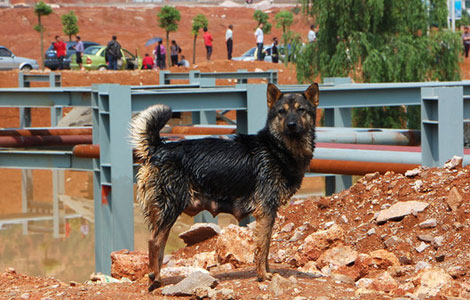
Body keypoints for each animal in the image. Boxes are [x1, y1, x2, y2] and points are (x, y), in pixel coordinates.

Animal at [129, 82, 320, 290]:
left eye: (301, 110)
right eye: (282, 112)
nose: (291, 125)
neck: (277, 148)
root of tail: (158, 148)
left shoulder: (269, 213)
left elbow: (266, 245)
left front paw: (267, 271)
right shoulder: (266, 210)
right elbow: (262, 247)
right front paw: (262, 275)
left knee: (160, 245)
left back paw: (156, 278)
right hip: (169, 208)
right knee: (154, 241)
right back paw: (155, 278)